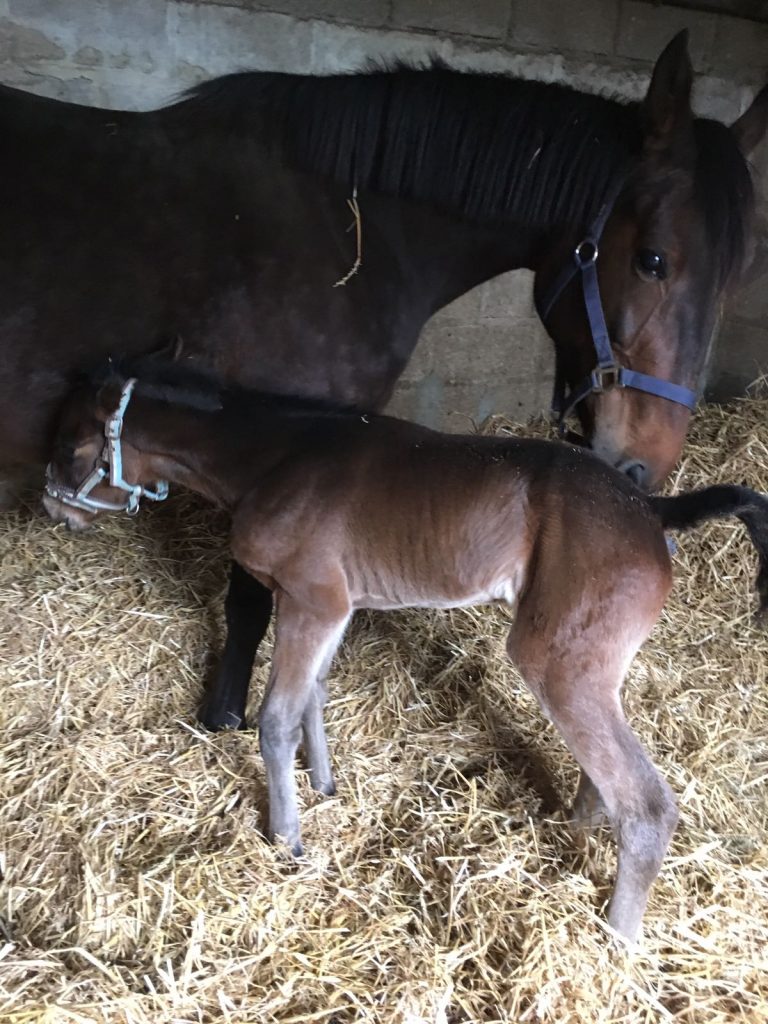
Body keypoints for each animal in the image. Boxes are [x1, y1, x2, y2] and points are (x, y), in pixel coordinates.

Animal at [1, 29, 768, 729]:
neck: (348, 231)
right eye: (652, 259)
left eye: (737, 280)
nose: (643, 467)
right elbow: (249, 599)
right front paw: (224, 716)